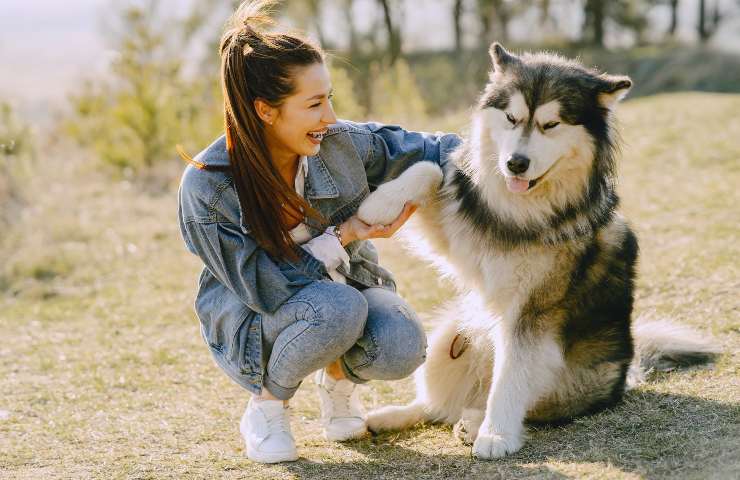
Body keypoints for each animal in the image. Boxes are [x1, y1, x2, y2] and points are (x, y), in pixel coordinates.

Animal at [356, 45, 716, 462]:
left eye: (551, 125)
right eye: (511, 119)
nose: (516, 163)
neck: (522, 211)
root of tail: (630, 369)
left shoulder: (531, 312)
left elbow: (511, 378)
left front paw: (496, 435)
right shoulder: (458, 237)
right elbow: (430, 168)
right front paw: (380, 204)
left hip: (561, 378)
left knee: (513, 405)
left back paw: (476, 422)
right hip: (449, 340)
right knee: (436, 407)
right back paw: (391, 417)